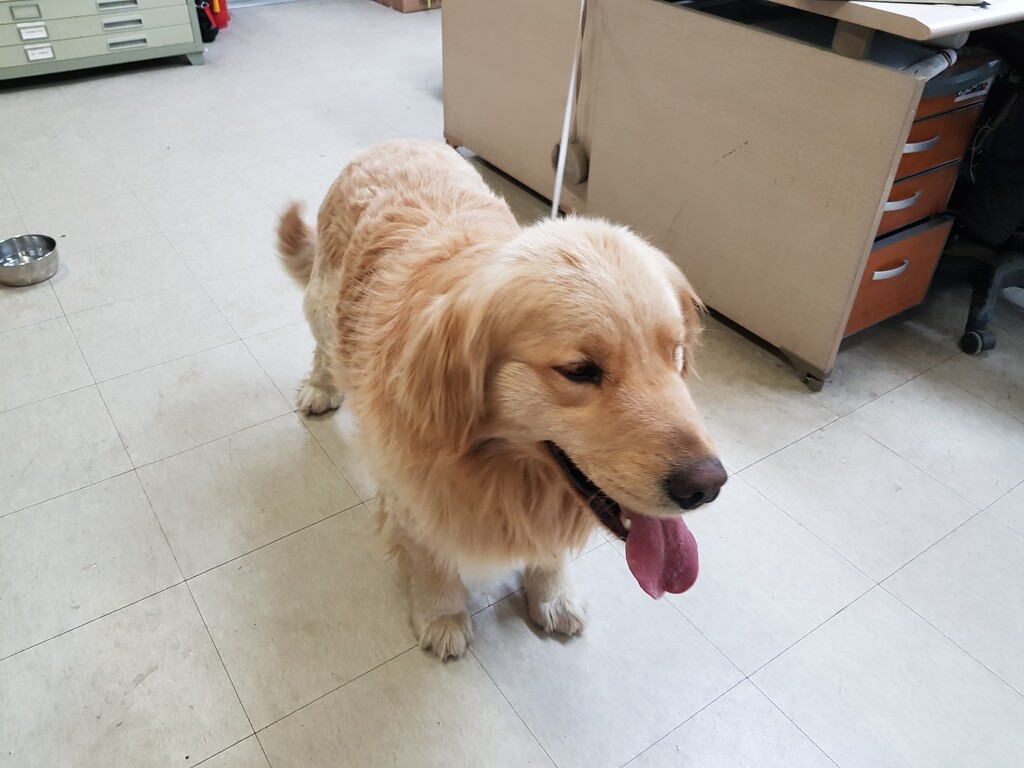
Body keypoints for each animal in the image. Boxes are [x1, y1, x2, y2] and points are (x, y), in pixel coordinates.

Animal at [278, 139, 726, 659]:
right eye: (580, 371)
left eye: (675, 353)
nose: (707, 486)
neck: (504, 469)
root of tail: (396, 141)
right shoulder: (410, 487)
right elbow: (432, 557)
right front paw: (442, 615)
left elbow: (548, 550)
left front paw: (552, 596)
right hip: (323, 304)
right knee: (324, 347)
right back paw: (321, 387)